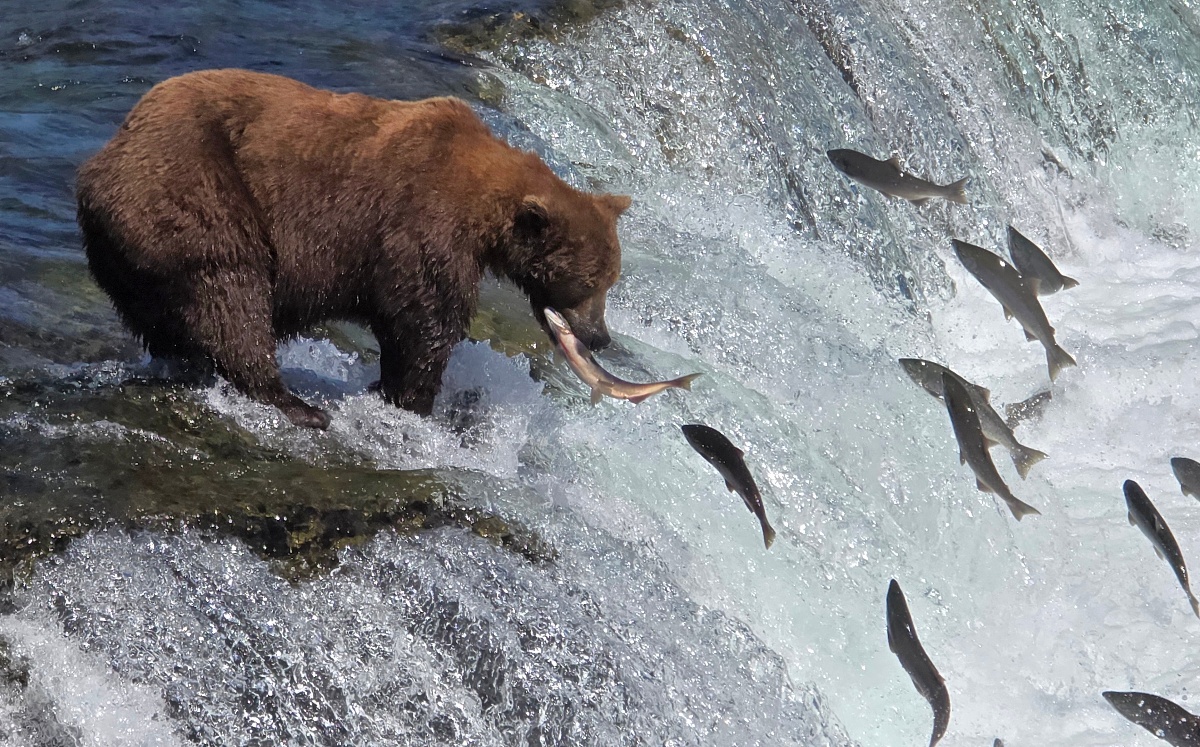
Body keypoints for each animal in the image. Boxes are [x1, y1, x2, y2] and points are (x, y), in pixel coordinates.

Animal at [76, 69, 630, 429]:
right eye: (587, 282)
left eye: (609, 282)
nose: (599, 336)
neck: (483, 210)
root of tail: (99, 164)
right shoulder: (419, 225)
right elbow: (424, 320)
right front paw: (410, 399)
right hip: (197, 188)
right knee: (231, 294)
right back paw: (296, 404)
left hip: (124, 247)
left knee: (163, 312)